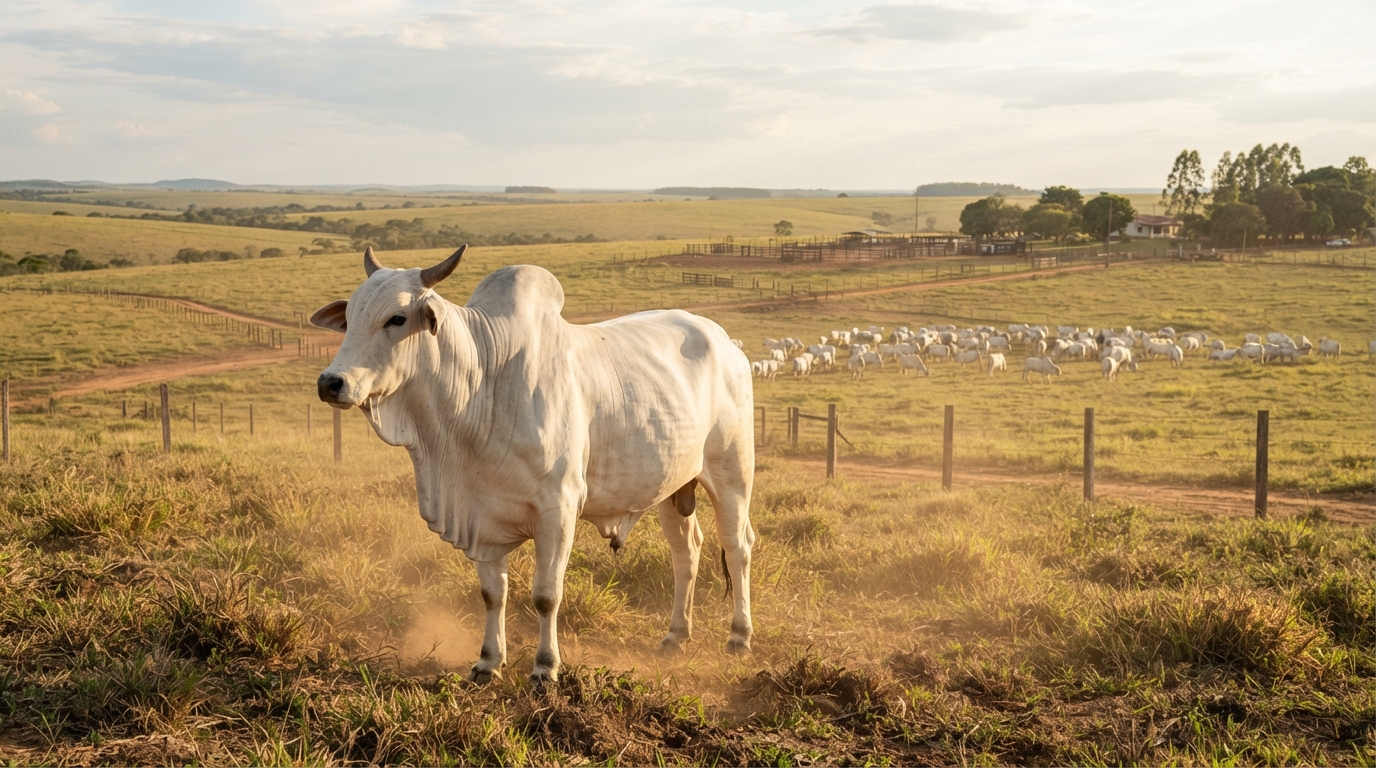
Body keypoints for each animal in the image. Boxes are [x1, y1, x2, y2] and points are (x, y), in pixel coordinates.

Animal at [312, 247, 757, 686]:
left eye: (397, 318)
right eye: (350, 317)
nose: (330, 383)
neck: (483, 384)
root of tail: (725, 341)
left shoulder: (557, 509)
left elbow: (546, 595)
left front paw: (545, 667)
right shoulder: (480, 515)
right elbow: (493, 594)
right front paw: (488, 662)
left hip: (732, 473)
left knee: (737, 547)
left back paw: (739, 636)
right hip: (674, 485)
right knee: (687, 550)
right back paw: (676, 635)